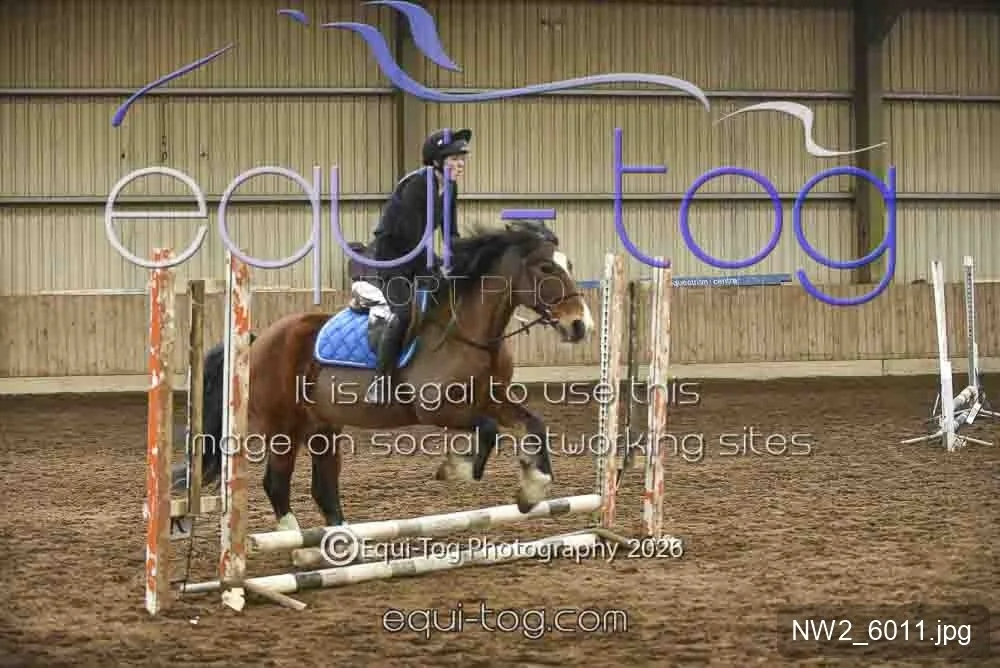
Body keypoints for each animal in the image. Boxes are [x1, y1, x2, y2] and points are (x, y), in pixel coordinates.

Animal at [171, 220, 595, 534]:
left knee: (324, 489)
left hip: (323, 428)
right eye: (546, 268)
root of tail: (258, 341)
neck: (469, 334)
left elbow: (533, 424)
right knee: (276, 484)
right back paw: (296, 542)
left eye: (570, 265)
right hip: (283, 429)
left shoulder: (491, 399)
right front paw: (456, 470)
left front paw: (532, 489)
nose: (580, 326)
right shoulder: (439, 411)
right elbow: (489, 431)